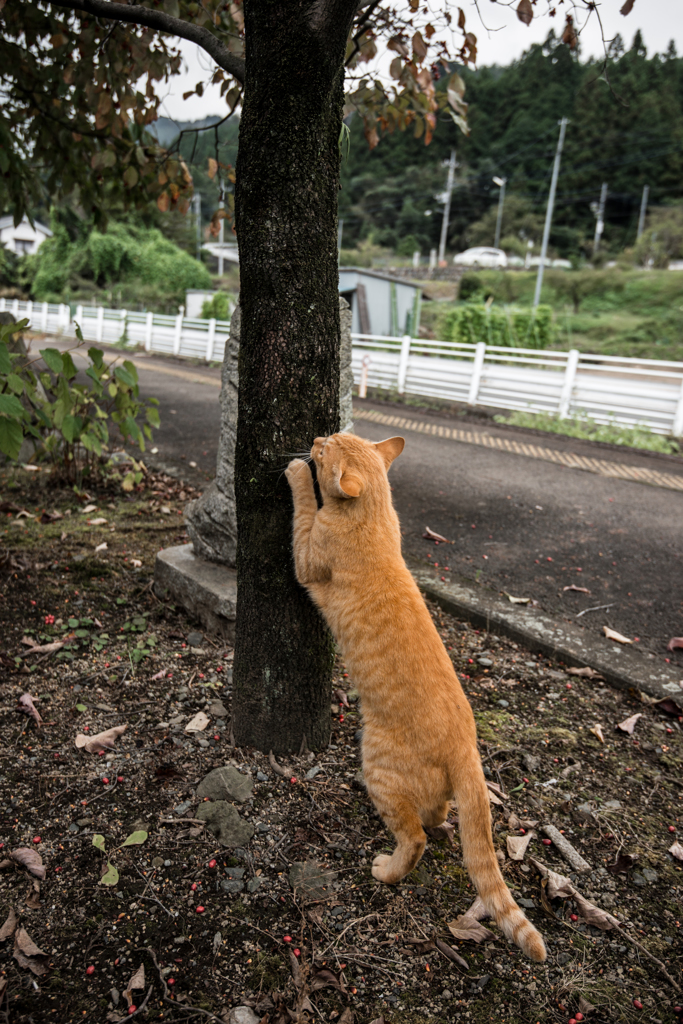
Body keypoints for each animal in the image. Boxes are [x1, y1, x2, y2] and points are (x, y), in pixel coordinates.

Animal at [286, 432, 548, 958]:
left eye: (325, 451)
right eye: (333, 436)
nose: (317, 438)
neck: (375, 519)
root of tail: (467, 746)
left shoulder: (306, 559)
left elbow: (304, 507)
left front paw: (297, 473)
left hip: (378, 767)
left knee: (415, 840)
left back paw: (386, 870)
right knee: (438, 813)